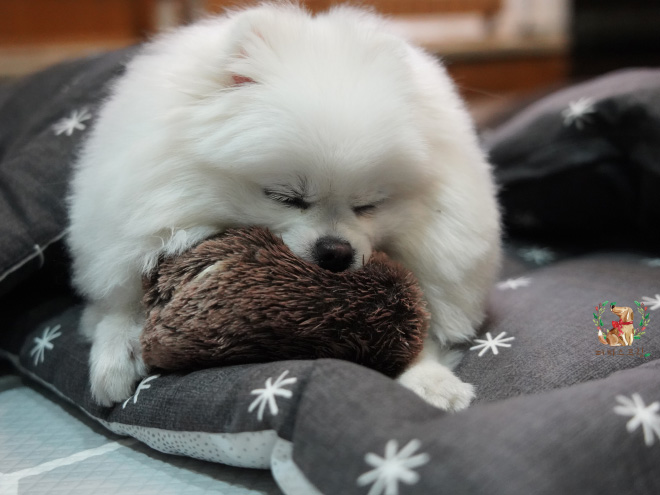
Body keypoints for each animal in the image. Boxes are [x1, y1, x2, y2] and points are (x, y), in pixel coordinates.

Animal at [67, 1, 500, 408]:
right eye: (285, 197)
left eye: (369, 205)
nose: (335, 251)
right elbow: (120, 300)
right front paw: (117, 351)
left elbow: (419, 322)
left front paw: (430, 379)